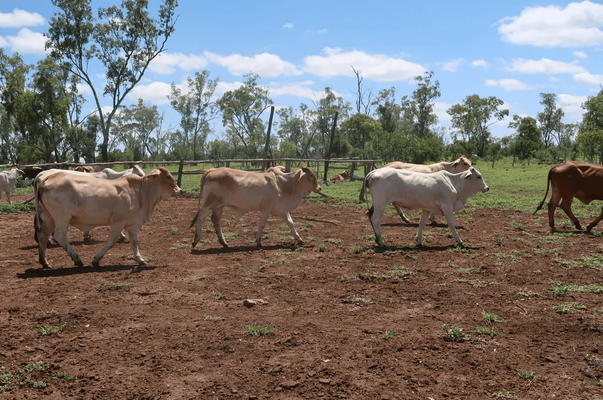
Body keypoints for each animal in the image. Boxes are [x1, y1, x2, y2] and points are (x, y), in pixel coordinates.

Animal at [35, 166, 180, 268]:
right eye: (168, 176)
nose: (179, 190)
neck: (140, 192)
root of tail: (45, 179)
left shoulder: (133, 223)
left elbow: (134, 242)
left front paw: (140, 260)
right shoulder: (117, 222)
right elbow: (111, 242)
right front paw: (96, 260)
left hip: (49, 218)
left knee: (43, 236)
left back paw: (44, 262)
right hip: (62, 218)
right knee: (59, 236)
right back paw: (77, 259)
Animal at [191, 165, 324, 247]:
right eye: (311, 175)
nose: (319, 188)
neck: (284, 184)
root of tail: (210, 170)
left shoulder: (282, 210)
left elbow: (290, 223)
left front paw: (299, 239)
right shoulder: (266, 208)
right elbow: (262, 224)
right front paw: (258, 241)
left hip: (219, 205)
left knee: (215, 220)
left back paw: (224, 243)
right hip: (211, 202)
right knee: (201, 216)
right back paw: (196, 240)